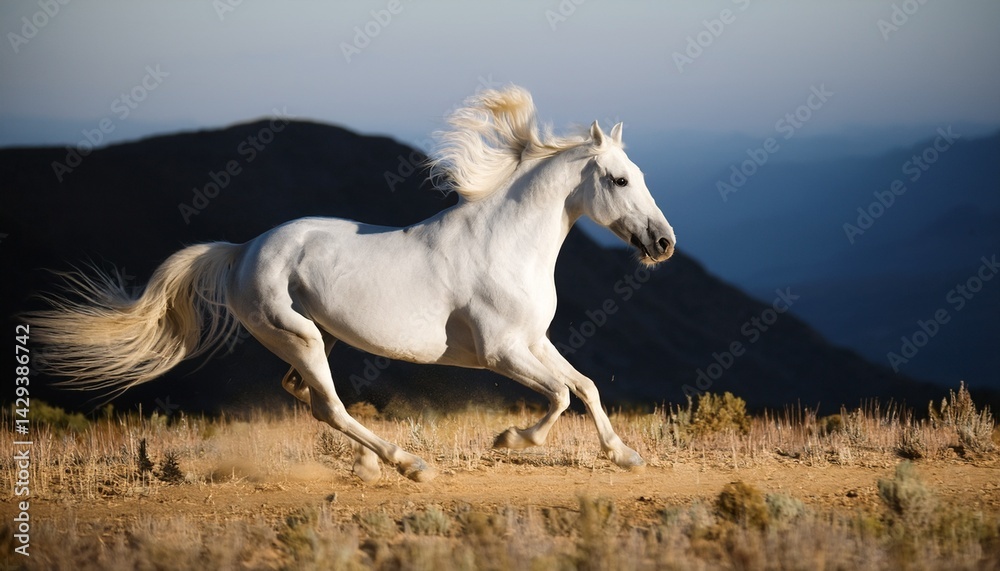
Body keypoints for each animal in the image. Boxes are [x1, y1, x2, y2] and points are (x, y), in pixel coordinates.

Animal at [27, 85, 676, 483]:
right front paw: (509, 440)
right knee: (331, 406)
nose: (664, 243)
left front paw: (626, 456)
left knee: (311, 399)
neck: (505, 245)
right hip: (298, 335)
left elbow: (584, 386)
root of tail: (242, 251)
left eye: (642, 174)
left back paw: (372, 465)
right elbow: (561, 396)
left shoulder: (534, 341)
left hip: (318, 337)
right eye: (619, 180)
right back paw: (409, 465)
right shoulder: (502, 352)